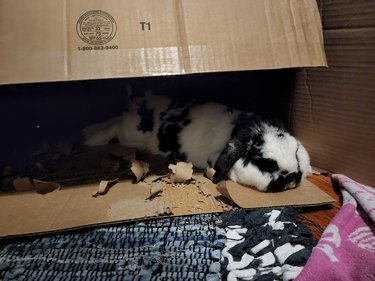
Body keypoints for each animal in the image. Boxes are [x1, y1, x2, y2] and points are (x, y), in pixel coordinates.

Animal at [83, 93, 312, 191]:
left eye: (296, 152)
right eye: (263, 163)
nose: (293, 179)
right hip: (129, 133)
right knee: (114, 126)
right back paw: (90, 138)